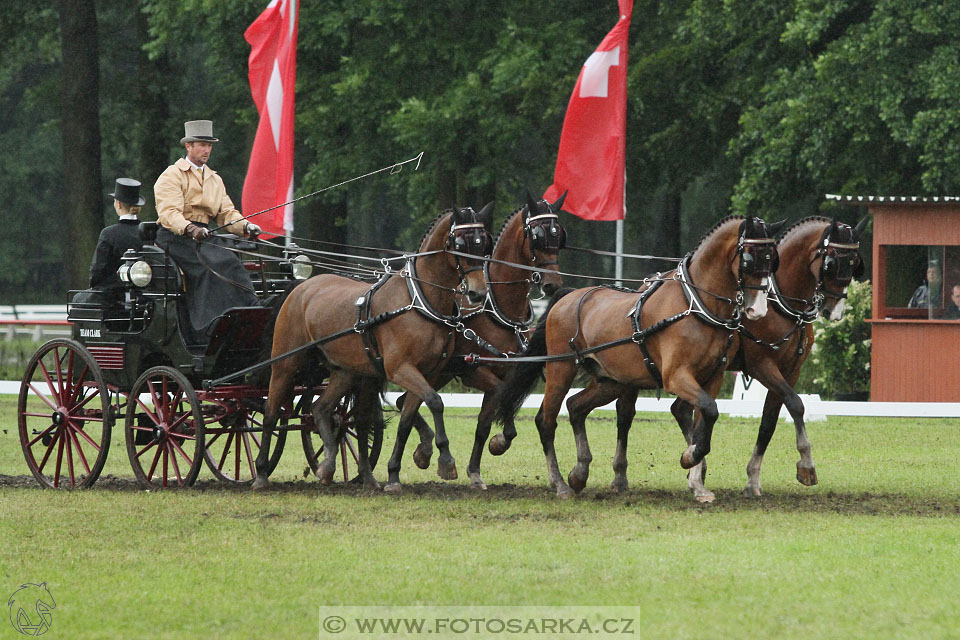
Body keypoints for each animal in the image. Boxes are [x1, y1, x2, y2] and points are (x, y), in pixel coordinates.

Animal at [253, 205, 496, 490]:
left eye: (484, 244)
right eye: (459, 245)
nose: (478, 293)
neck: (419, 301)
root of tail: (301, 286)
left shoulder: (429, 372)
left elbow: (406, 421)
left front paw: (394, 474)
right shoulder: (399, 369)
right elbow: (436, 402)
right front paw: (445, 460)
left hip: (345, 371)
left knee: (321, 408)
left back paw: (332, 467)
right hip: (285, 364)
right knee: (270, 413)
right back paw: (260, 473)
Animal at [396, 192, 568, 488]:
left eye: (559, 237)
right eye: (537, 235)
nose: (552, 285)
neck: (496, 308)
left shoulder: (505, 370)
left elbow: (484, 424)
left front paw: (477, 467)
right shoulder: (474, 372)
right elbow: (500, 398)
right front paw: (497, 443)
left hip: (436, 373)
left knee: (404, 401)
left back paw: (424, 449)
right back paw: (426, 450)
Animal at [496, 218, 780, 498]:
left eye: (772, 259)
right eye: (749, 258)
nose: (758, 309)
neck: (696, 306)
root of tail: (569, 296)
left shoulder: (713, 378)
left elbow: (706, 417)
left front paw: (697, 481)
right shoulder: (675, 376)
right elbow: (709, 411)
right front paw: (689, 457)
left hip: (611, 381)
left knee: (576, 407)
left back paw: (579, 473)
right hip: (561, 369)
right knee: (546, 421)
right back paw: (560, 484)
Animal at [668, 215, 872, 500]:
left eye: (854, 264)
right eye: (831, 262)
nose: (835, 311)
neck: (779, 304)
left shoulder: (790, 372)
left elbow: (768, 424)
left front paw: (753, 479)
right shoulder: (762, 367)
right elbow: (796, 404)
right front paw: (807, 465)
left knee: (681, 409)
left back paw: (696, 468)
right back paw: (696, 467)